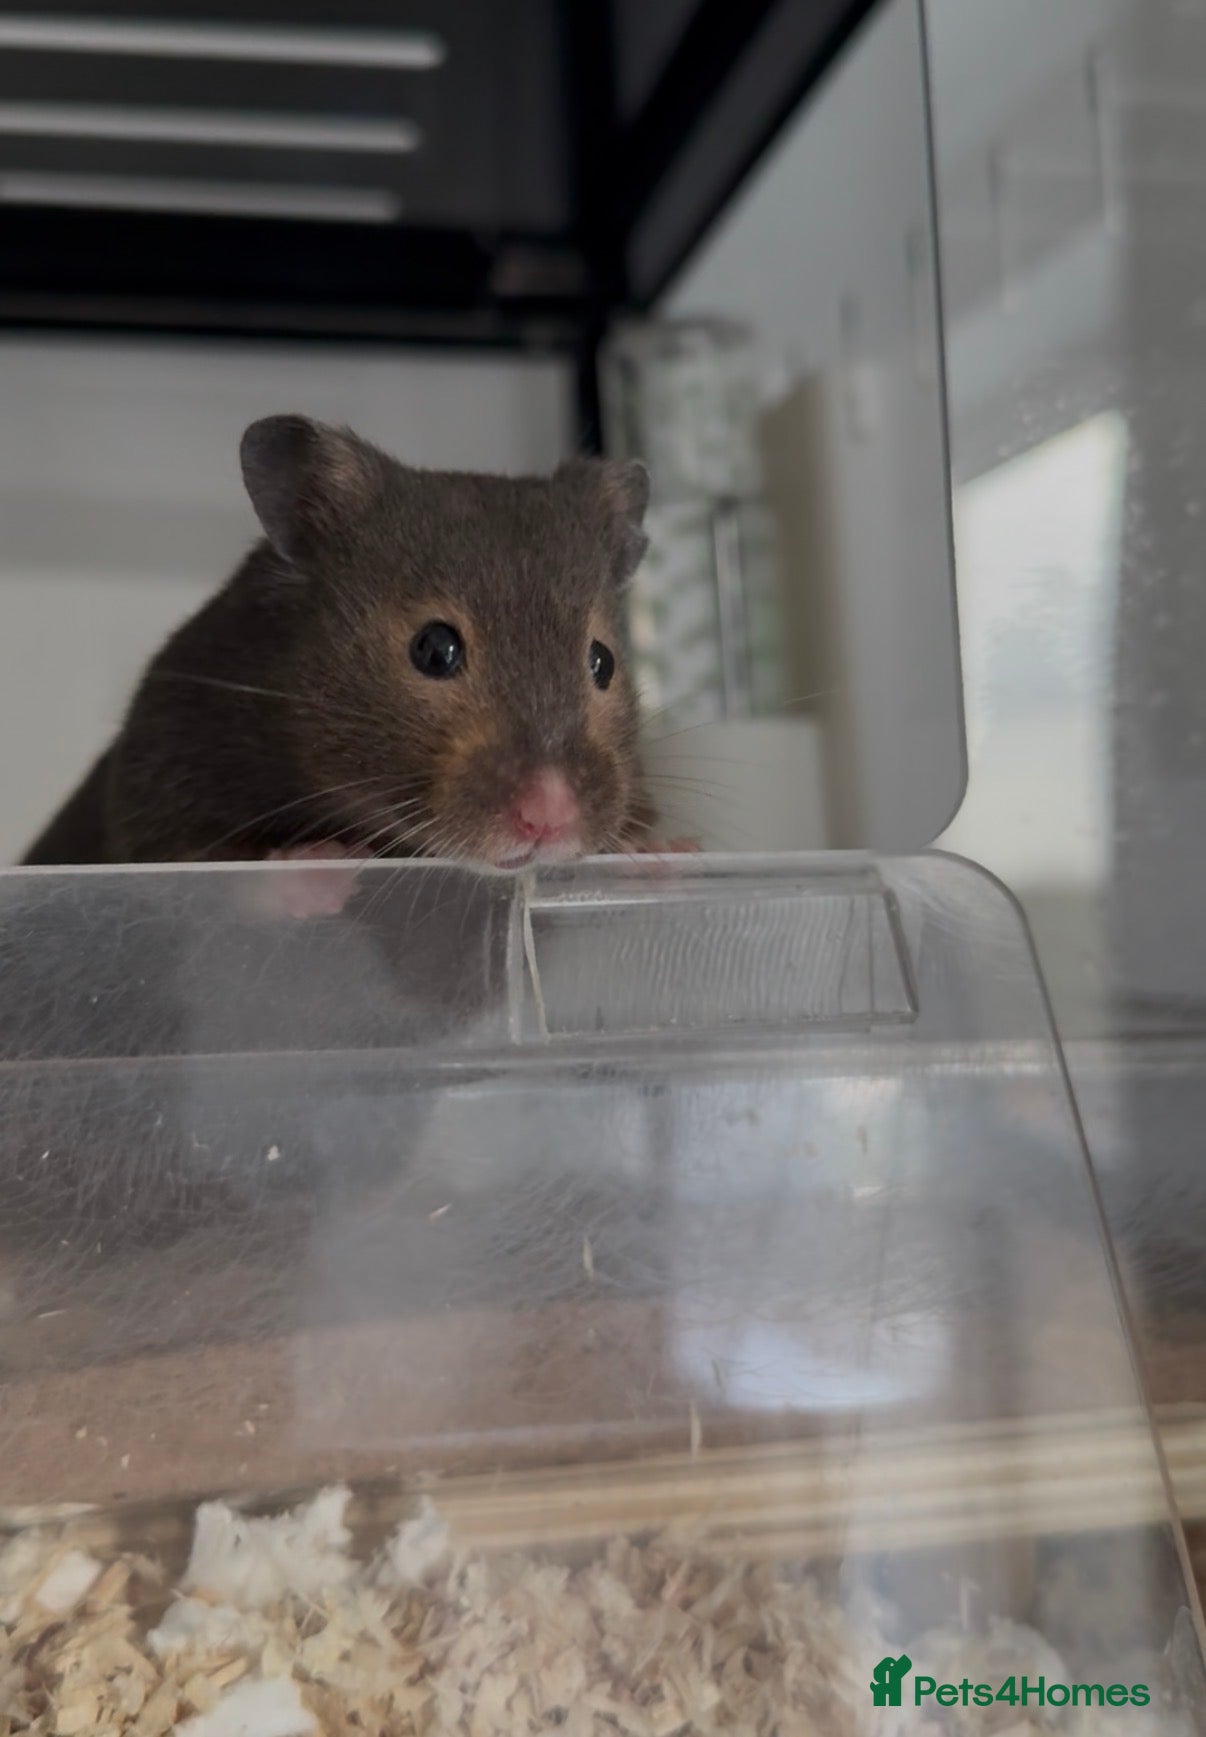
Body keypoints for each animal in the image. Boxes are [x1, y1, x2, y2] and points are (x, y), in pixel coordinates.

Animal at [22, 414, 674, 883]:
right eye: (434, 649)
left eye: (602, 661)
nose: (550, 817)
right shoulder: (157, 794)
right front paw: (318, 860)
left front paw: (662, 849)